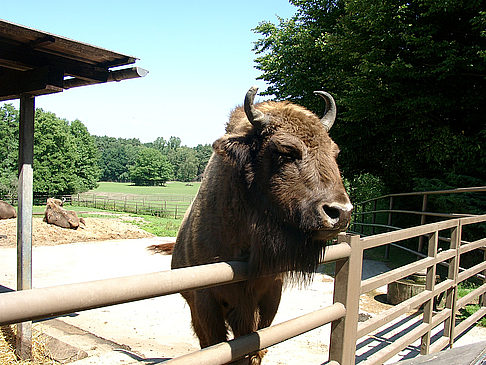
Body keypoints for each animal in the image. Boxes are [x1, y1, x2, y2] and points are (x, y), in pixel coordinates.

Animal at [172, 86, 354, 362]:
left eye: (334, 152)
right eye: (285, 151)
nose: (340, 212)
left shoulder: (269, 298)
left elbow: (254, 348)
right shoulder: (205, 302)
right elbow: (215, 345)